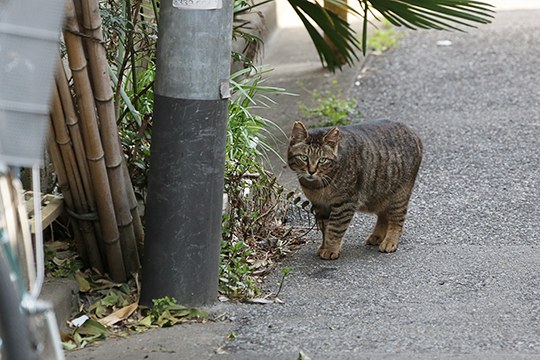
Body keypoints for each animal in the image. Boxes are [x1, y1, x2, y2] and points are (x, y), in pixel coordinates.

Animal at [288, 120, 424, 258]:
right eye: (304, 157)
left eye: (322, 160)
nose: (311, 171)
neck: (317, 186)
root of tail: (411, 130)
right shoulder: (320, 206)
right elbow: (325, 228)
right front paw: (323, 246)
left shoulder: (344, 204)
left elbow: (334, 229)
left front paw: (330, 249)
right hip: (379, 193)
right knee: (383, 215)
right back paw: (377, 236)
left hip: (399, 195)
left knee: (397, 219)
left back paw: (390, 241)